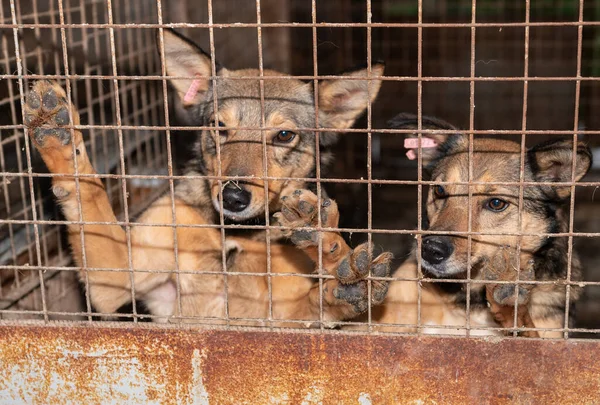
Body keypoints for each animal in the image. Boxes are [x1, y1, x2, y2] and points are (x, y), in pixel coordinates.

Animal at [22, 27, 394, 326]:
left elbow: (318, 303)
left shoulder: (280, 318)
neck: (237, 235)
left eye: (284, 135)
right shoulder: (115, 277)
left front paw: (329, 250)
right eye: (219, 126)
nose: (233, 197)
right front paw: (57, 133)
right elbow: (88, 192)